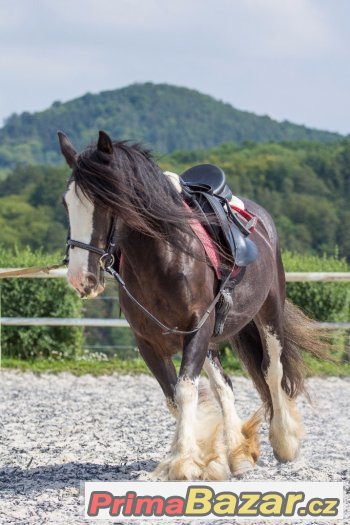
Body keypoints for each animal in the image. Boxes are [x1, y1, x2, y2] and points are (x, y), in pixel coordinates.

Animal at [56, 128, 326, 478]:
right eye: (67, 203)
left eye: (105, 201)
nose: (81, 278)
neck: (167, 256)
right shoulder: (147, 340)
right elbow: (174, 395)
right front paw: (204, 456)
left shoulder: (197, 329)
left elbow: (186, 391)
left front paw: (182, 462)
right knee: (226, 386)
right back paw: (237, 454)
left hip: (268, 311)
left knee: (272, 370)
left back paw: (284, 441)